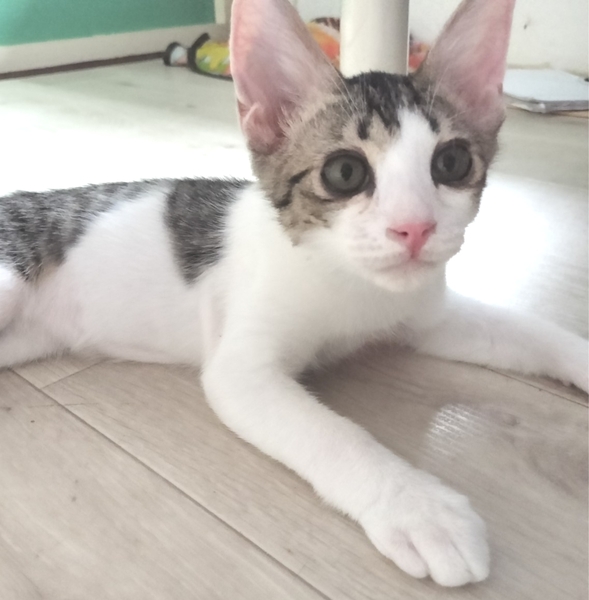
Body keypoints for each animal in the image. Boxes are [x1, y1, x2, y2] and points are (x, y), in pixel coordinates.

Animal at [0, 0, 587, 588]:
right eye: (345, 171)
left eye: (452, 162)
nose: (415, 229)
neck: (348, 280)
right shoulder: (241, 370)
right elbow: (333, 435)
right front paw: (418, 507)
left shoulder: (425, 314)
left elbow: (526, 330)